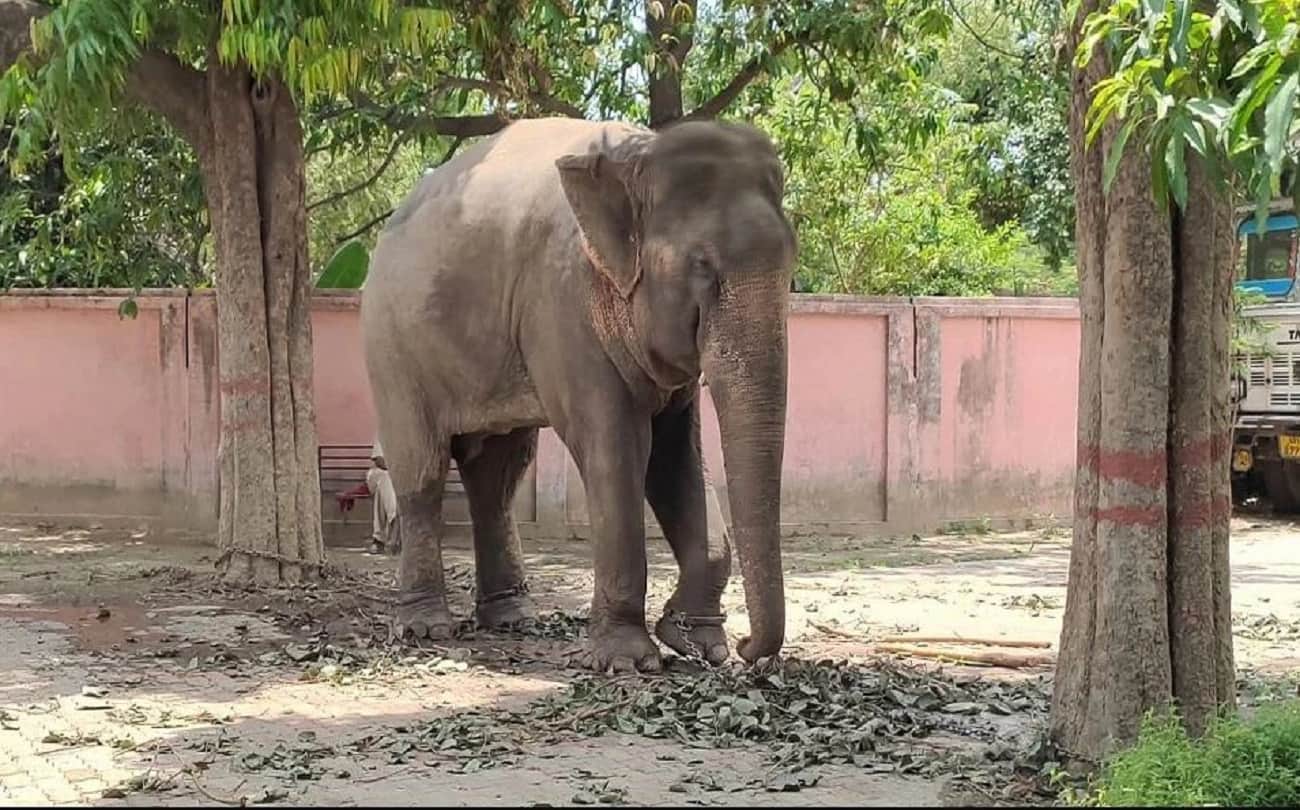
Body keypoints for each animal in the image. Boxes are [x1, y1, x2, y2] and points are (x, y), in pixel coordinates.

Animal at [360, 117, 796, 672]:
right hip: (391, 345)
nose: (746, 650)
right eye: (702, 265)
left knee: (497, 475)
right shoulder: (561, 301)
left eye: (792, 261)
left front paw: (698, 643)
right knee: (422, 470)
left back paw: (511, 619)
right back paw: (425, 628)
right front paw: (629, 660)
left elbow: (676, 457)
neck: (636, 156)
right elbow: (615, 448)